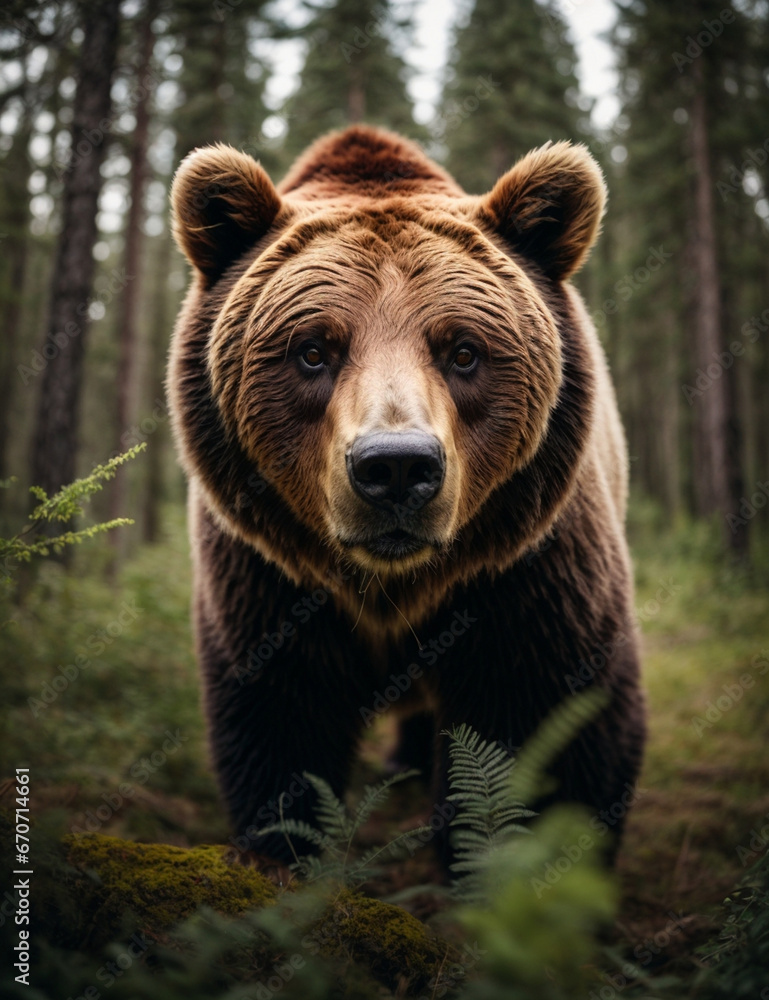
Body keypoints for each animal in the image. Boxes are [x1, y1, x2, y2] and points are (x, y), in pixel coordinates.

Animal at [170, 127, 648, 868]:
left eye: (463, 350)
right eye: (313, 350)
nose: (395, 467)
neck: (393, 587)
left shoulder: (527, 576)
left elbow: (549, 740)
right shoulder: (266, 583)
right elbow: (280, 737)